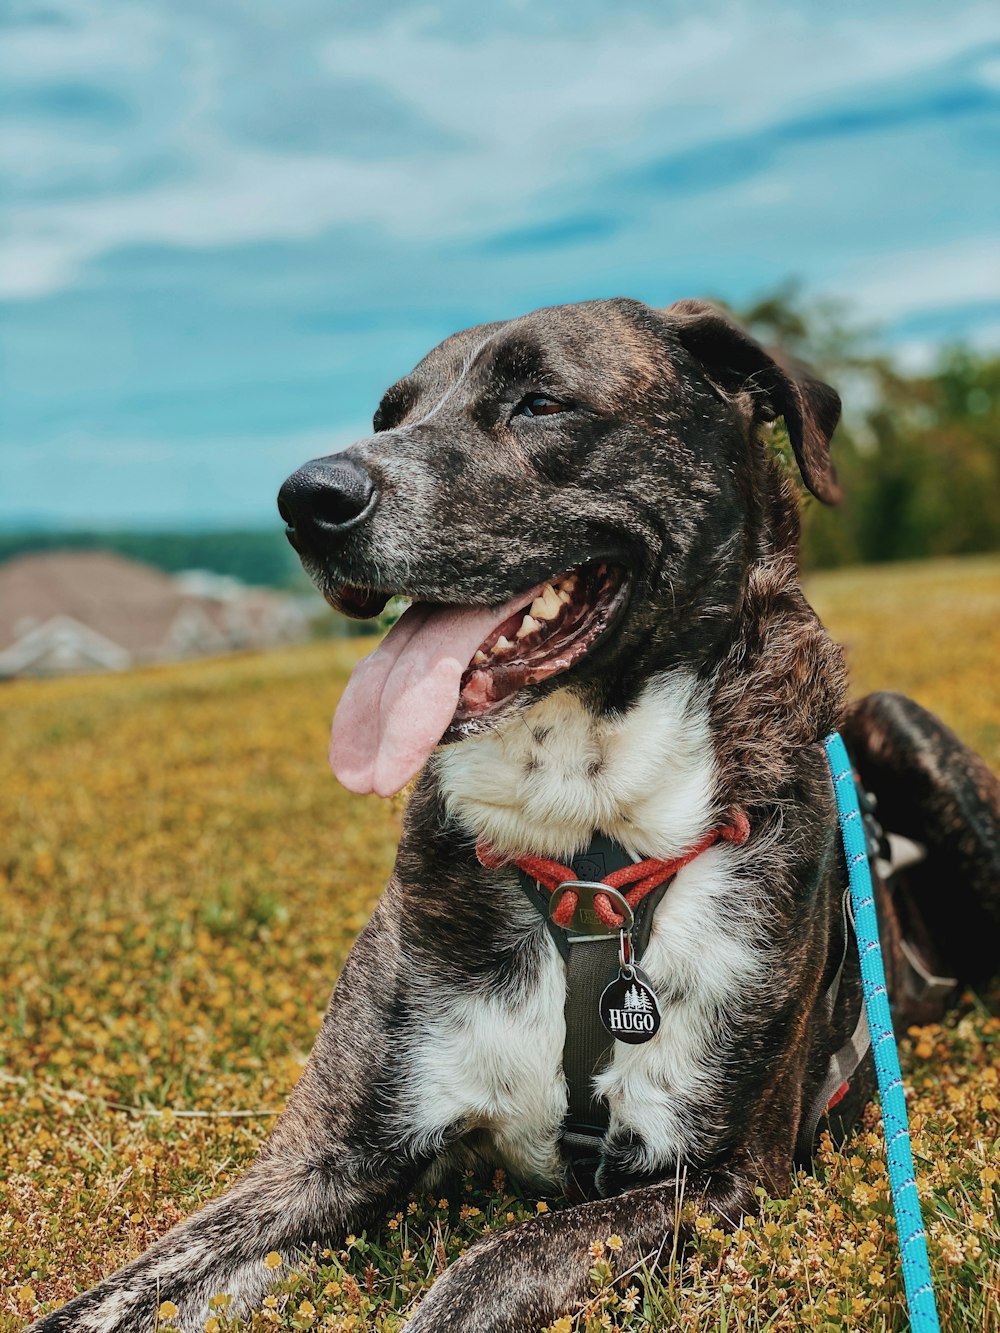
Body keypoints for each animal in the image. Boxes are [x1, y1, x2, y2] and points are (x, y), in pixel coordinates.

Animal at [31, 302, 1000, 1333]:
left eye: (540, 402)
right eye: (387, 416)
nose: (306, 499)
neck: (586, 840)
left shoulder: (721, 1174)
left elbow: (486, 1266)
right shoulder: (320, 1163)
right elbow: (118, 1292)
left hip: (900, 724)